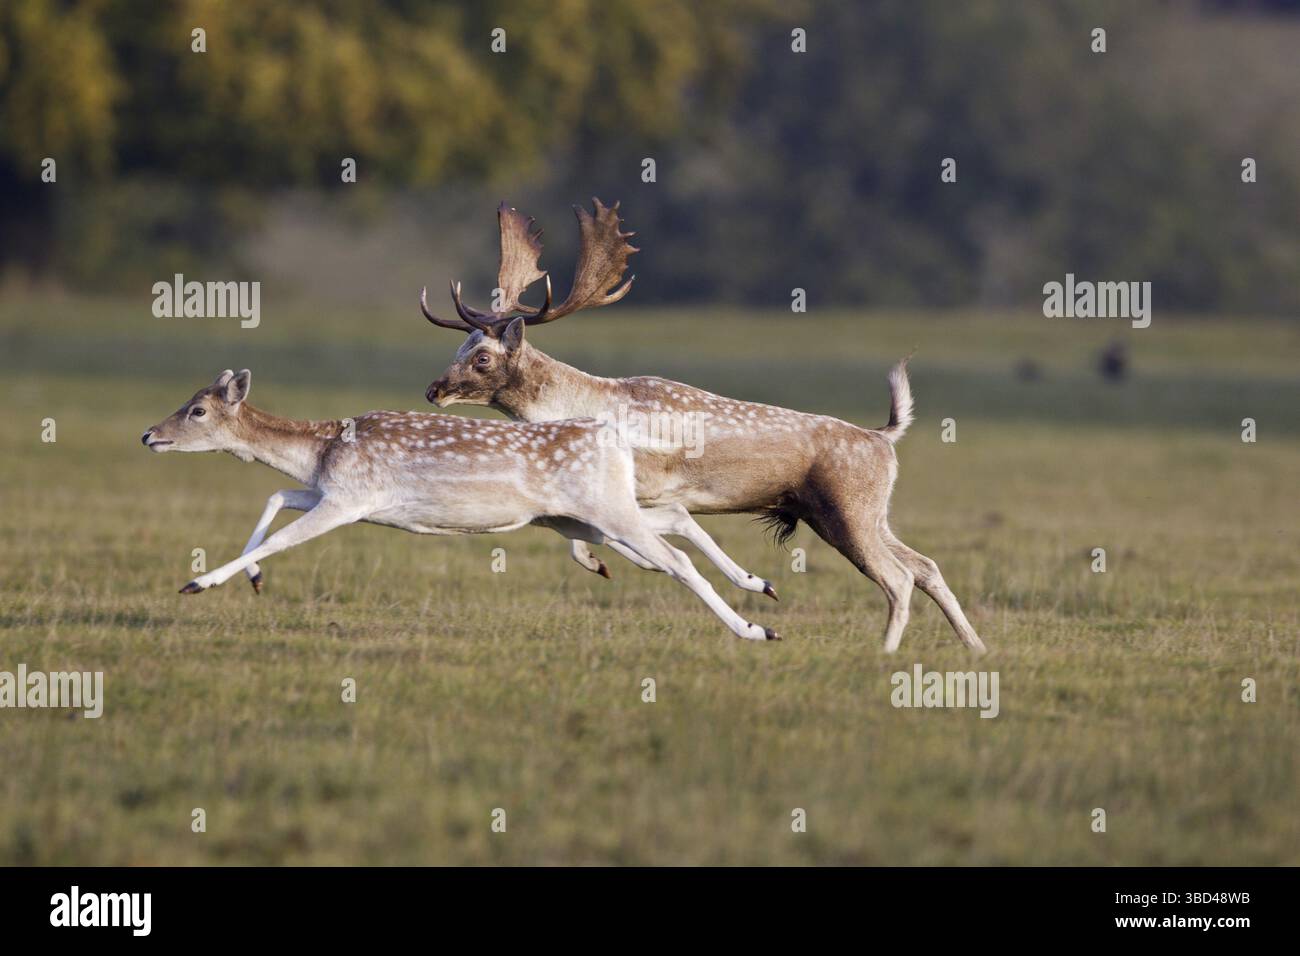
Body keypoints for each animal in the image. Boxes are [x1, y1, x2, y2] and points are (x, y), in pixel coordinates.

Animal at [141, 369, 781, 641]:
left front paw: (197, 583)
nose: (148, 435)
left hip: (603, 510)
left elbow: (282, 533)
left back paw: (755, 630)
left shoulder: (352, 496)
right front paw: (251, 577)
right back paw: (760, 583)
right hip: (585, 515)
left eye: (197, 410)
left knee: (676, 560)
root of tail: (616, 439)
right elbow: (276, 493)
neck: (321, 450)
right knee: (674, 519)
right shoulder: (332, 492)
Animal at [419, 200, 987, 654]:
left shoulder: (644, 486)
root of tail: (884, 437)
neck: (580, 403)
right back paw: (975, 647)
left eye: (484, 358)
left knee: (898, 577)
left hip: (848, 511)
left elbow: (607, 538)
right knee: (925, 566)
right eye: (460, 346)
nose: (434, 390)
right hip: (867, 514)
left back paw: (886, 653)